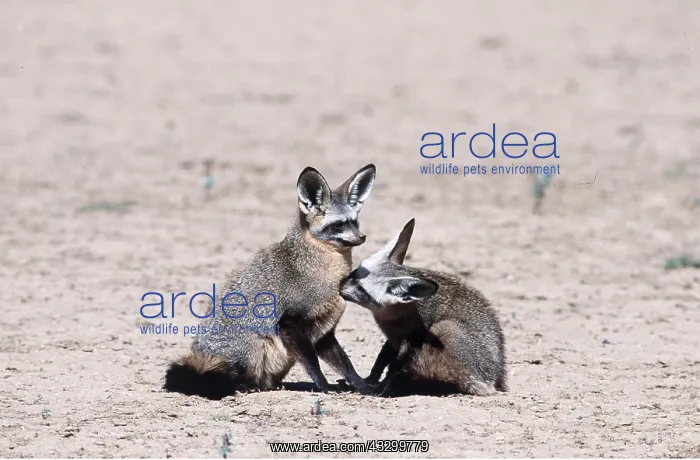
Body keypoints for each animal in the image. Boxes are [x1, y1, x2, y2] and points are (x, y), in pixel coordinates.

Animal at [163, 164, 377, 399]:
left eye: (355, 222)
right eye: (338, 225)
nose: (362, 237)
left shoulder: (323, 332)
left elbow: (346, 364)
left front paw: (363, 386)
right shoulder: (289, 322)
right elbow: (313, 364)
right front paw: (324, 386)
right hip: (254, 346)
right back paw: (244, 386)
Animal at [339, 218, 508, 397]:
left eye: (361, 289)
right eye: (354, 273)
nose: (339, 287)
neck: (394, 316)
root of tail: (491, 382)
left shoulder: (410, 341)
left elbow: (393, 368)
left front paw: (377, 388)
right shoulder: (394, 340)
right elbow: (381, 359)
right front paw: (371, 379)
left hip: (444, 327)